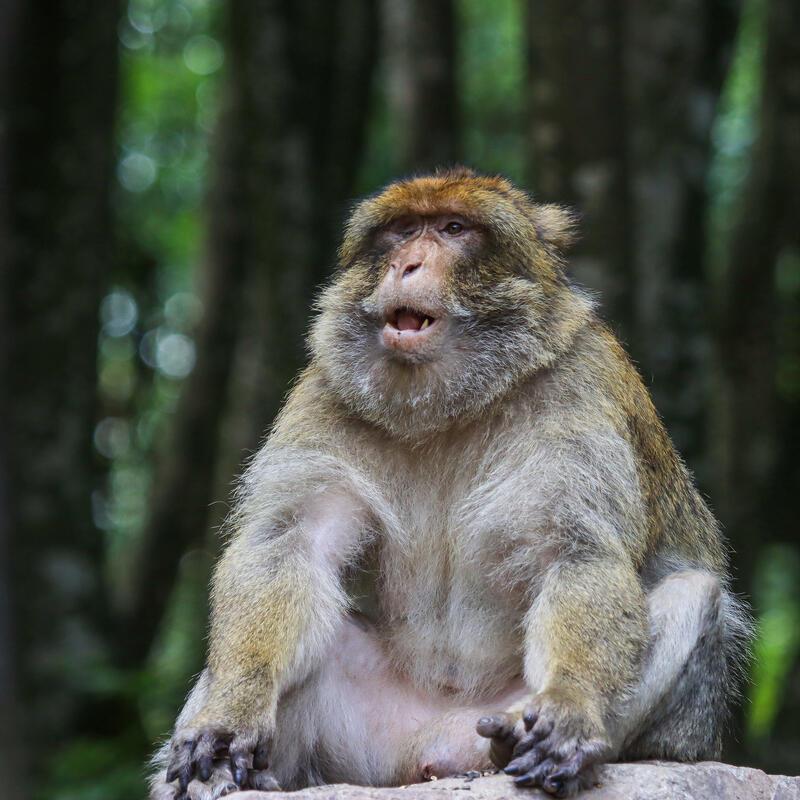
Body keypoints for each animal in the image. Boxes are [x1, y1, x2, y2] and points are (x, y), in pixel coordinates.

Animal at [149, 167, 751, 800]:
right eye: (401, 229)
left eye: (454, 229)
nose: (407, 265)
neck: (449, 407)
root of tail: (430, 750)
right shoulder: (328, 389)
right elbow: (290, 543)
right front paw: (231, 714)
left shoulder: (581, 385)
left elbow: (579, 553)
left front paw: (569, 704)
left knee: (694, 593)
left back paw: (524, 741)